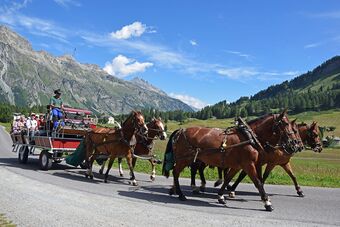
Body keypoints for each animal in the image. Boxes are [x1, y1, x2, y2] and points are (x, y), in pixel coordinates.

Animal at [163, 110, 302, 211]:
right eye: (285, 124)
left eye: (294, 128)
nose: (294, 144)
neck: (249, 137)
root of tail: (181, 130)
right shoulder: (249, 164)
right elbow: (258, 182)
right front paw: (267, 202)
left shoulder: (238, 165)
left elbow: (228, 179)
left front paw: (221, 196)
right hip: (184, 159)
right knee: (176, 172)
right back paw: (181, 194)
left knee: (180, 172)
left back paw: (175, 190)